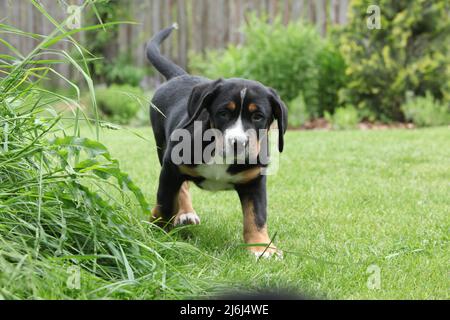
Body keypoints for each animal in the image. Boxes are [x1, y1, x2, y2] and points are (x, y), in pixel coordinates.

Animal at [148, 24, 288, 258]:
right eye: (223, 113)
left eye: (258, 116)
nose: (238, 143)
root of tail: (180, 76)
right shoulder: (171, 165)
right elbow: (165, 201)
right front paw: (156, 230)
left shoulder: (255, 180)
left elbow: (256, 214)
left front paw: (261, 247)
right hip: (163, 148)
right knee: (181, 187)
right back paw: (184, 213)